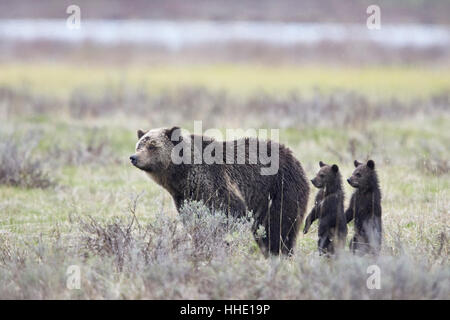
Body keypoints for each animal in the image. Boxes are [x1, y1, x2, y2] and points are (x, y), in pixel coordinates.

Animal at [128, 126, 308, 256]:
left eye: (152, 146)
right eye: (139, 145)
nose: (134, 157)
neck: (182, 174)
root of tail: (295, 158)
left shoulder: (214, 182)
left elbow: (229, 209)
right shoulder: (184, 196)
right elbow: (193, 219)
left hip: (280, 189)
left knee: (278, 227)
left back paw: (279, 253)